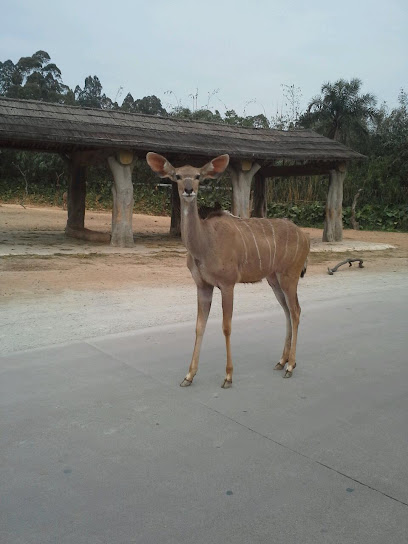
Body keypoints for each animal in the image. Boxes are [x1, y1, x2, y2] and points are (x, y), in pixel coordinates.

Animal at [147, 153, 310, 386]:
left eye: (198, 176)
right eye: (177, 176)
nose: (188, 189)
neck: (205, 243)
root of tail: (306, 237)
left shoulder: (227, 284)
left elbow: (226, 326)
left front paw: (228, 376)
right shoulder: (203, 286)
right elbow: (199, 326)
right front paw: (189, 375)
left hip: (290, 276)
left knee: (296, 311)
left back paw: (290, 366)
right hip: (274, 279)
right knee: (287, 311)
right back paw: (282, 361)